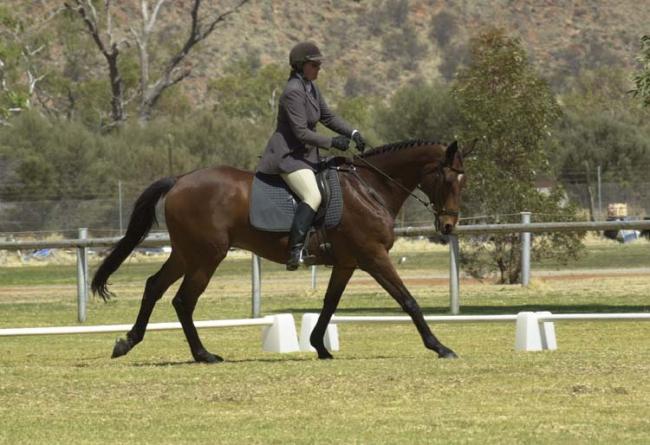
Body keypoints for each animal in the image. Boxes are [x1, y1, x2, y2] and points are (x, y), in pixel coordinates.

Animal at [92, 139, 466, 360]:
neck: (369, 189)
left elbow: (329, 304)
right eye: (450, 179)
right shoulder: (374, 257)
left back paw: (127, 342)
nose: (448, 227)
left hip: (186, 254)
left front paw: (319, 346)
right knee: (183, 300)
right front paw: (440, 347)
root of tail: (181, 179)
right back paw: (203, 354)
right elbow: (408, 301)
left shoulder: (347, 263)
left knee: (154, 286)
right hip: (207, 256)